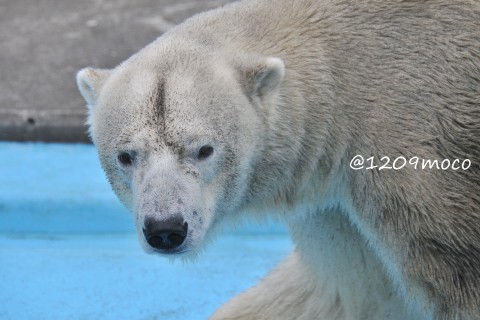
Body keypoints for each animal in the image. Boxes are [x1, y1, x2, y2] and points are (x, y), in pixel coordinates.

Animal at [75, 0, 480, 318]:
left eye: (204, 149)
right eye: (126, 156)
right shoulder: (337, 210)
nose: (165, 229)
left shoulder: (417, 168)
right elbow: (347, 293)